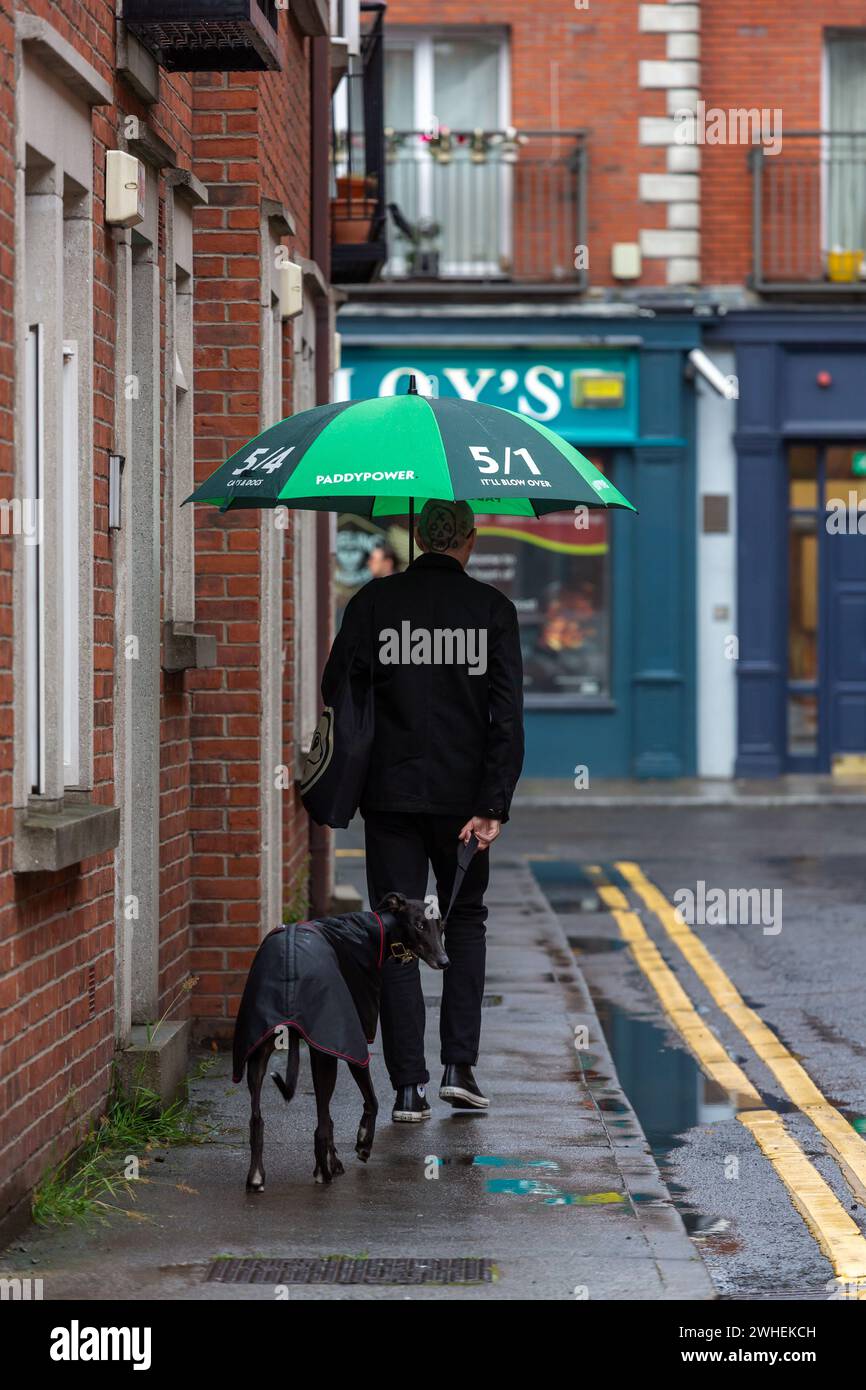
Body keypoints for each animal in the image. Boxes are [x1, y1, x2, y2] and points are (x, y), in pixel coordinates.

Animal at [232, 895, 447, 1189]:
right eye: (419, 925)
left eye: (441, 925)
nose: (445, 961)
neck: (377, 928)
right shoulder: (351, 1040)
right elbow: (371, 1100)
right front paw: (362, 1143)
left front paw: (336, 1158)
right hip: (329, 1049)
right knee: (321, 1126)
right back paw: (323, 1173)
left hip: (259, 1051)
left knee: (257, 1118)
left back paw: (256, 1176)